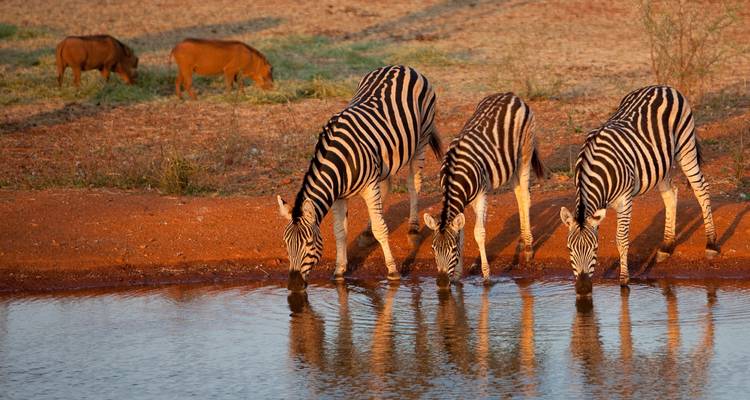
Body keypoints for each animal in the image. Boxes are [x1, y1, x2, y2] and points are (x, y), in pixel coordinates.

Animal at [277, 65, 441, 291]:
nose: (293, 286)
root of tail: (402, 66)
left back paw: (413, 229)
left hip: (422, 139)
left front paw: (393, 271)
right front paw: (339, 271)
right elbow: (340, 232)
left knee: (413, 183)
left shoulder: (369, 186)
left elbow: (382, 229)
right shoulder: (338, 195)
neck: (339, 161)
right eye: (285, 244)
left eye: (309, 244)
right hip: (385, 158)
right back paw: (367, 232)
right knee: (387, 186)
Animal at [423, 93, 544, 287]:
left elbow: (479, 233)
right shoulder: (463, 201)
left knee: (525, 196)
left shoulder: (481, 194)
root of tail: (511, 95)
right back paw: (522, 242)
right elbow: (462, 235)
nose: (441, 283)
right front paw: (457, 276)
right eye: (433, 249)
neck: (454, 175)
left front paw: (486, 276)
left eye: (452, 249)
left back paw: (528, 248)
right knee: (518, 192)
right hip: (511, 162)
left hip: (525, 151)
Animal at [560, 85, 719, 297]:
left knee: (701, 189)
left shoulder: (625, 200)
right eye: (569, 249)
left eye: (594, 249)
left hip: (686, 147)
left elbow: (621, 239)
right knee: (670, 194)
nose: (583, 289)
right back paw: (666, 247)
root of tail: (663, 86)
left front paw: (624, 280)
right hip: (661, 163)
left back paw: (711, 244)